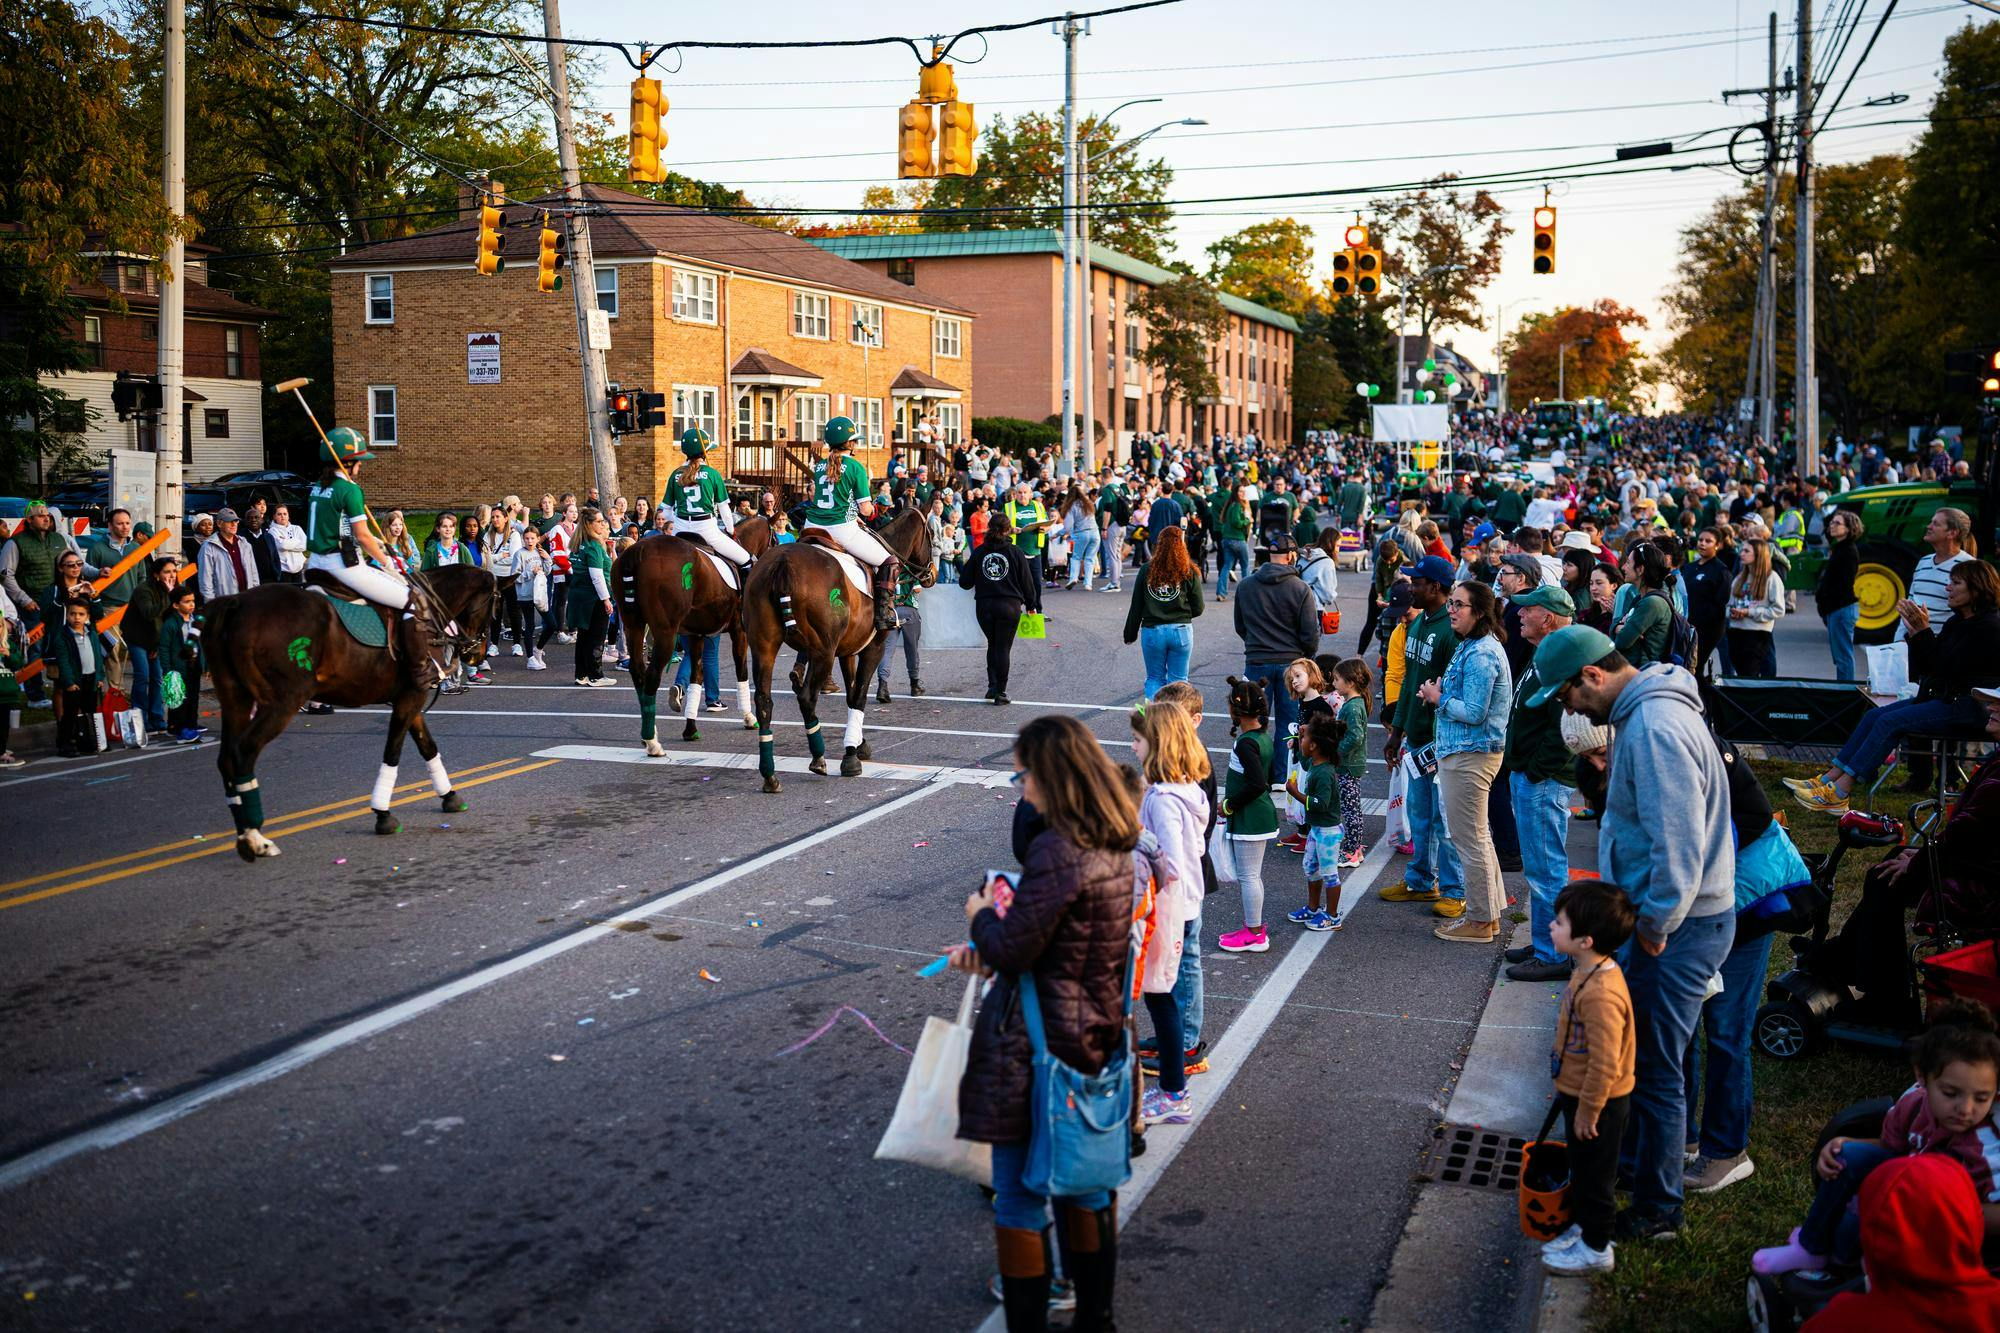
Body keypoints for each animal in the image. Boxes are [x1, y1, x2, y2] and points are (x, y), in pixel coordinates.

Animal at [199, 564, 504, 860]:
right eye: (494, 604)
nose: (476, 654)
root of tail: (235, 602)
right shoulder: (412, 694)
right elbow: (393, 751)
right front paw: (383, 814)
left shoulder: (408, 696)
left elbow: (427, 746)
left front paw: (449, 796)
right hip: (281, 701)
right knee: (243, 752)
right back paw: (256, 839)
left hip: (235, 699)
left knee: (227, 758)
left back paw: (243, 835)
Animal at [604, 512, 768, 752]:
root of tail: (637, 552)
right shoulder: (739, 630)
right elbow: (741, 670)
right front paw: (748, 717)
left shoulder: (695, 634)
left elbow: (696, 676)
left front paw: (691, 728)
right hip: (665, 633)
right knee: (652, 674)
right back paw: (652, 743)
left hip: (634, 626)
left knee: (638, 672)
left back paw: (649, 733)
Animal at [744, 504, 936, 784]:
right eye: (931, 534)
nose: (932, 573)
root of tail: (783, 564)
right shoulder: (872, 648)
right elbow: (859, 696)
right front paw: (851, 756)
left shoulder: (847, 651)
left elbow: (851, 692)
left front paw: (858, 743)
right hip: (822, 652)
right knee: (807, 697)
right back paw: (817, 757)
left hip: (764, 646)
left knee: (764, 701)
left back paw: (769, 774)